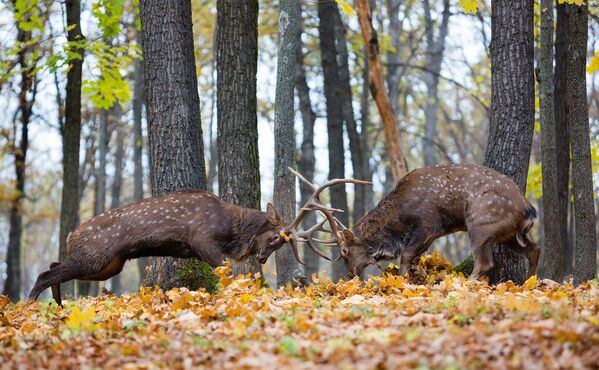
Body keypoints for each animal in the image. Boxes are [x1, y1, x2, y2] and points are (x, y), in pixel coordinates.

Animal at [284, 165, 540, 280]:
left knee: (485, 262)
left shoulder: (428, 224)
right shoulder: (431, 234)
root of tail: (528, 209)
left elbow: (406, 256)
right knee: (534, 249)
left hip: (481, 223)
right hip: (508, 234)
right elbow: (414, 258)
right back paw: (529, 282)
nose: (350, 275)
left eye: (345, 251)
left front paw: (402, 281)